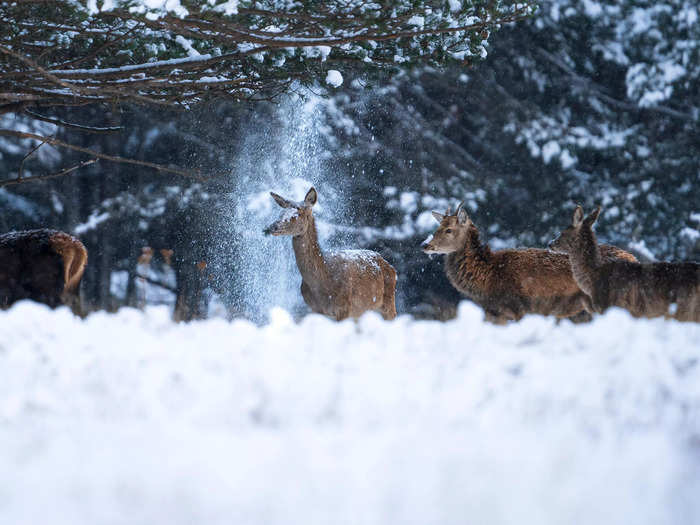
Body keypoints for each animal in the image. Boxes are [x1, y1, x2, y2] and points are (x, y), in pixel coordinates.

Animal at [262, 186, 396, 322]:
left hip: (388, 303)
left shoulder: (344, 306)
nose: (271, 227)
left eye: (297, 214)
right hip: (361, 312)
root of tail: (390, 266)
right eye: (281, 213)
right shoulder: (314, 309)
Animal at [422, 202, 640, 322]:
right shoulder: (494, 313)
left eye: (449, 229)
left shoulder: (520, 309)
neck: (488, 278)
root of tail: (634, 258)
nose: (425, 244)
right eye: (437, 226)